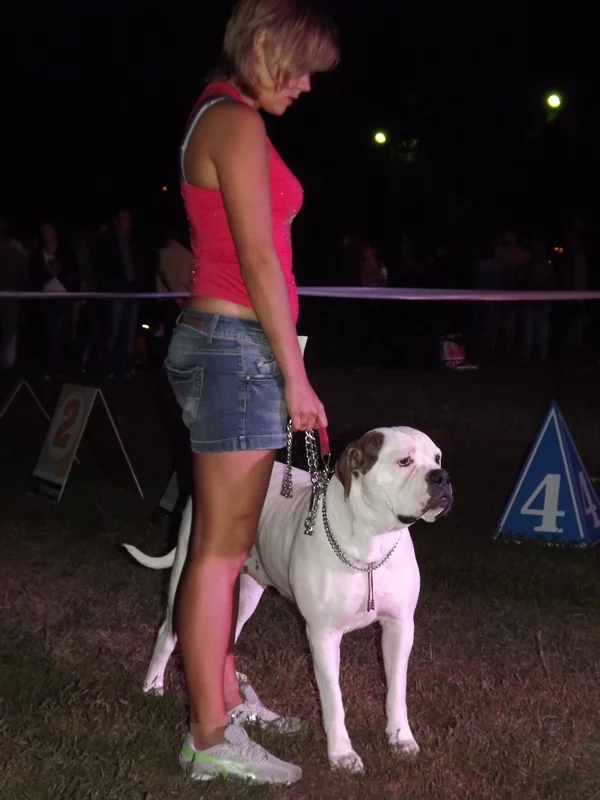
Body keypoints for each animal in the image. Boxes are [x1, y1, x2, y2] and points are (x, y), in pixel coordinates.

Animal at [124, 427, 452, 772]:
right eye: (404, 461)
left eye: (437, 458)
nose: (442, 477)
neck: (370, 545)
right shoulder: (323, 635)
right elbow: (333, 699)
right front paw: (341, 753)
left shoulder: (399, 627)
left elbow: (396, 690)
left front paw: (401, 737)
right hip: (187, 572)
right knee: (167, 631)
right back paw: (153, 685)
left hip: (247, 590)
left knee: (228, 630)